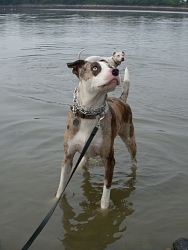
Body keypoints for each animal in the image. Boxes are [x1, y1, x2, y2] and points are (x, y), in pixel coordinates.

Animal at [55, 59, 137, 209]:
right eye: (95, 68)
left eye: (111, 66)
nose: (115, 71)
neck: (90, 112)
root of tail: (121, 100)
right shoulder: (68, 156)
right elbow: (61, 187)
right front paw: (55, 200)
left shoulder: (109, 160)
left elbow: (105, 195)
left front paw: (104, 211)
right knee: (84, 159)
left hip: (130, 139)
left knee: (134, 160)